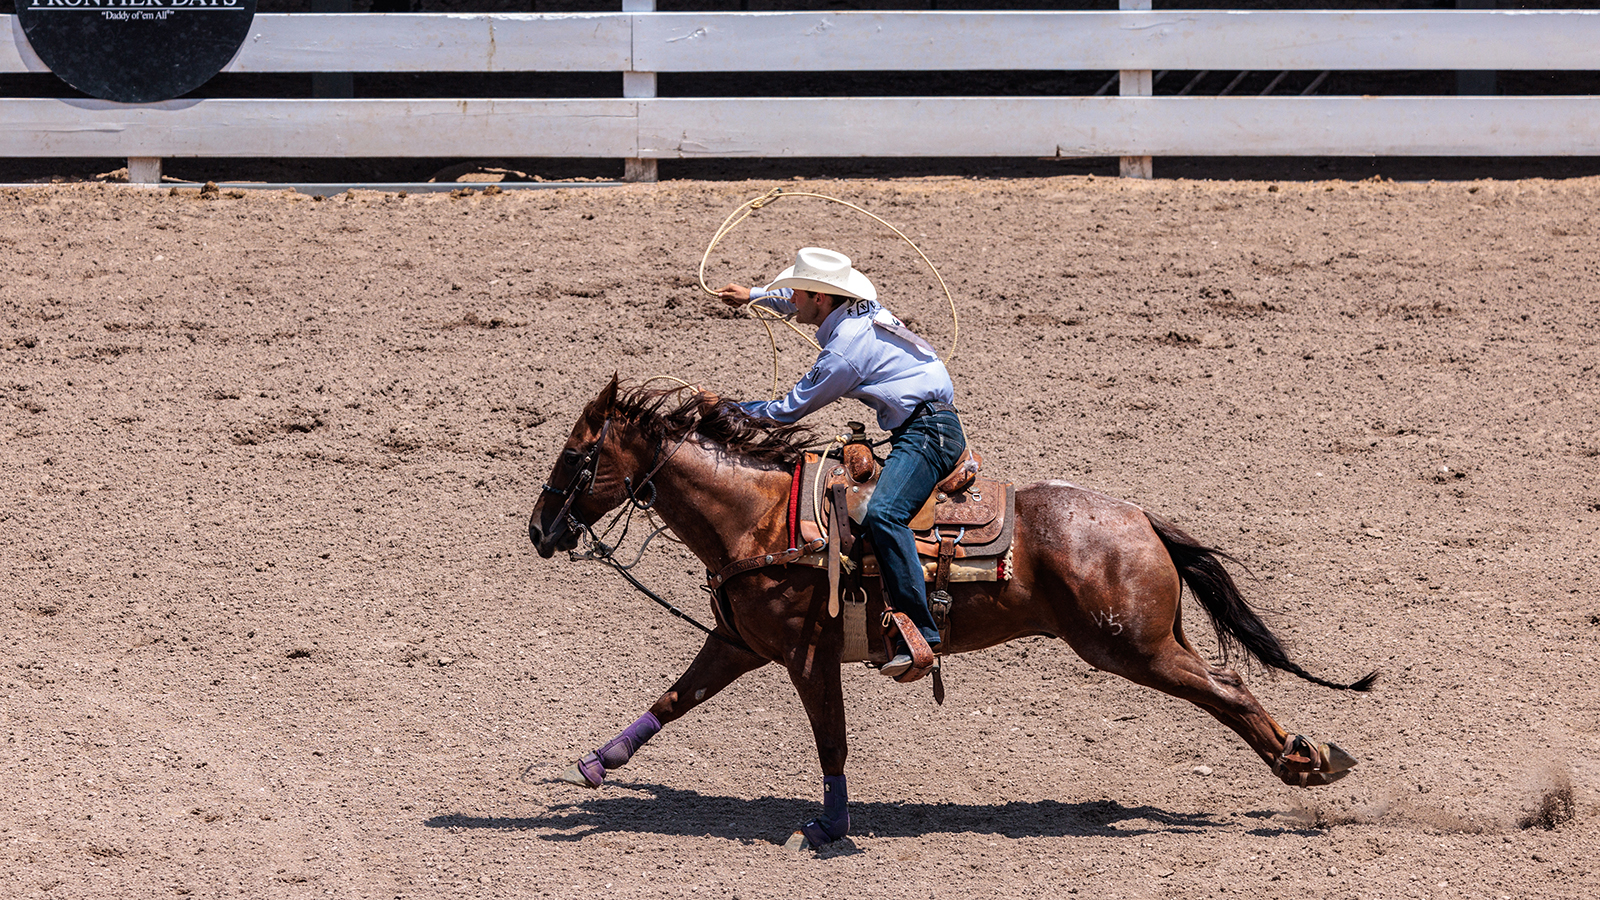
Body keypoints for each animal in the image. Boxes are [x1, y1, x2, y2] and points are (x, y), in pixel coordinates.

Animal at [528, 377, 1376, 845]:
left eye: (575, 457)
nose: (538, 530)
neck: (762, 519)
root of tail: (1139, 517)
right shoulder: (739, 642)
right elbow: (674, 698)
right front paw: (596, 763)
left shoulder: (806, 655)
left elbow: (831, 741)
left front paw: (829, 828)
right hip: (1150, 640)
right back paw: (1307, 759)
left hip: (1129, 648)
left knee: (1228, 691)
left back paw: (1303, 762)